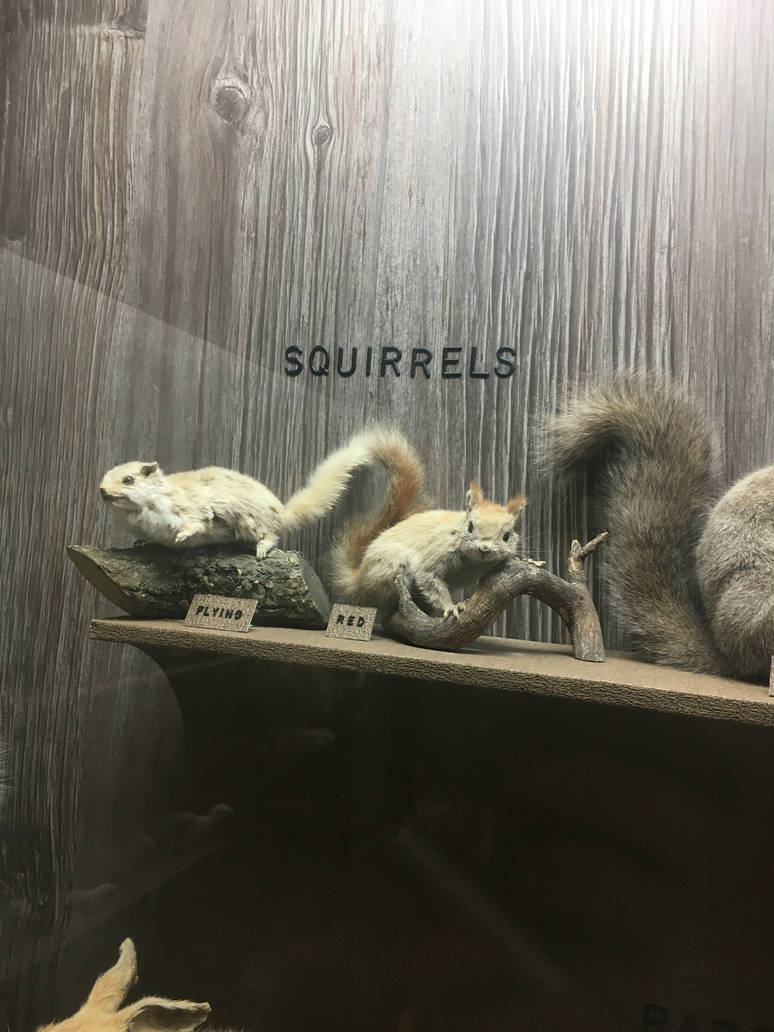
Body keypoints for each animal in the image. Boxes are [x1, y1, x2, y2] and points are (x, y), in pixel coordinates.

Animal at [99, 427, 422, 559]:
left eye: (128, 479)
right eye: (104, 477)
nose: (102, 492)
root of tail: (282, 512)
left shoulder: (192, 509)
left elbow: (197, 523)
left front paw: (181, 536)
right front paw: (141, 543)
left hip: (253, 522)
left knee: (272, 535)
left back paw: (261, 551)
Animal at [330, 478, 527, 620]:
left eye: (507, 536)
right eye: (470, 526)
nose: (484, 548)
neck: (472, 561)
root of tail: (358, 579)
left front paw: (527, 560)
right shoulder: (437, 553)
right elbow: (428, 578)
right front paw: (451, 606)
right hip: (391, 567)